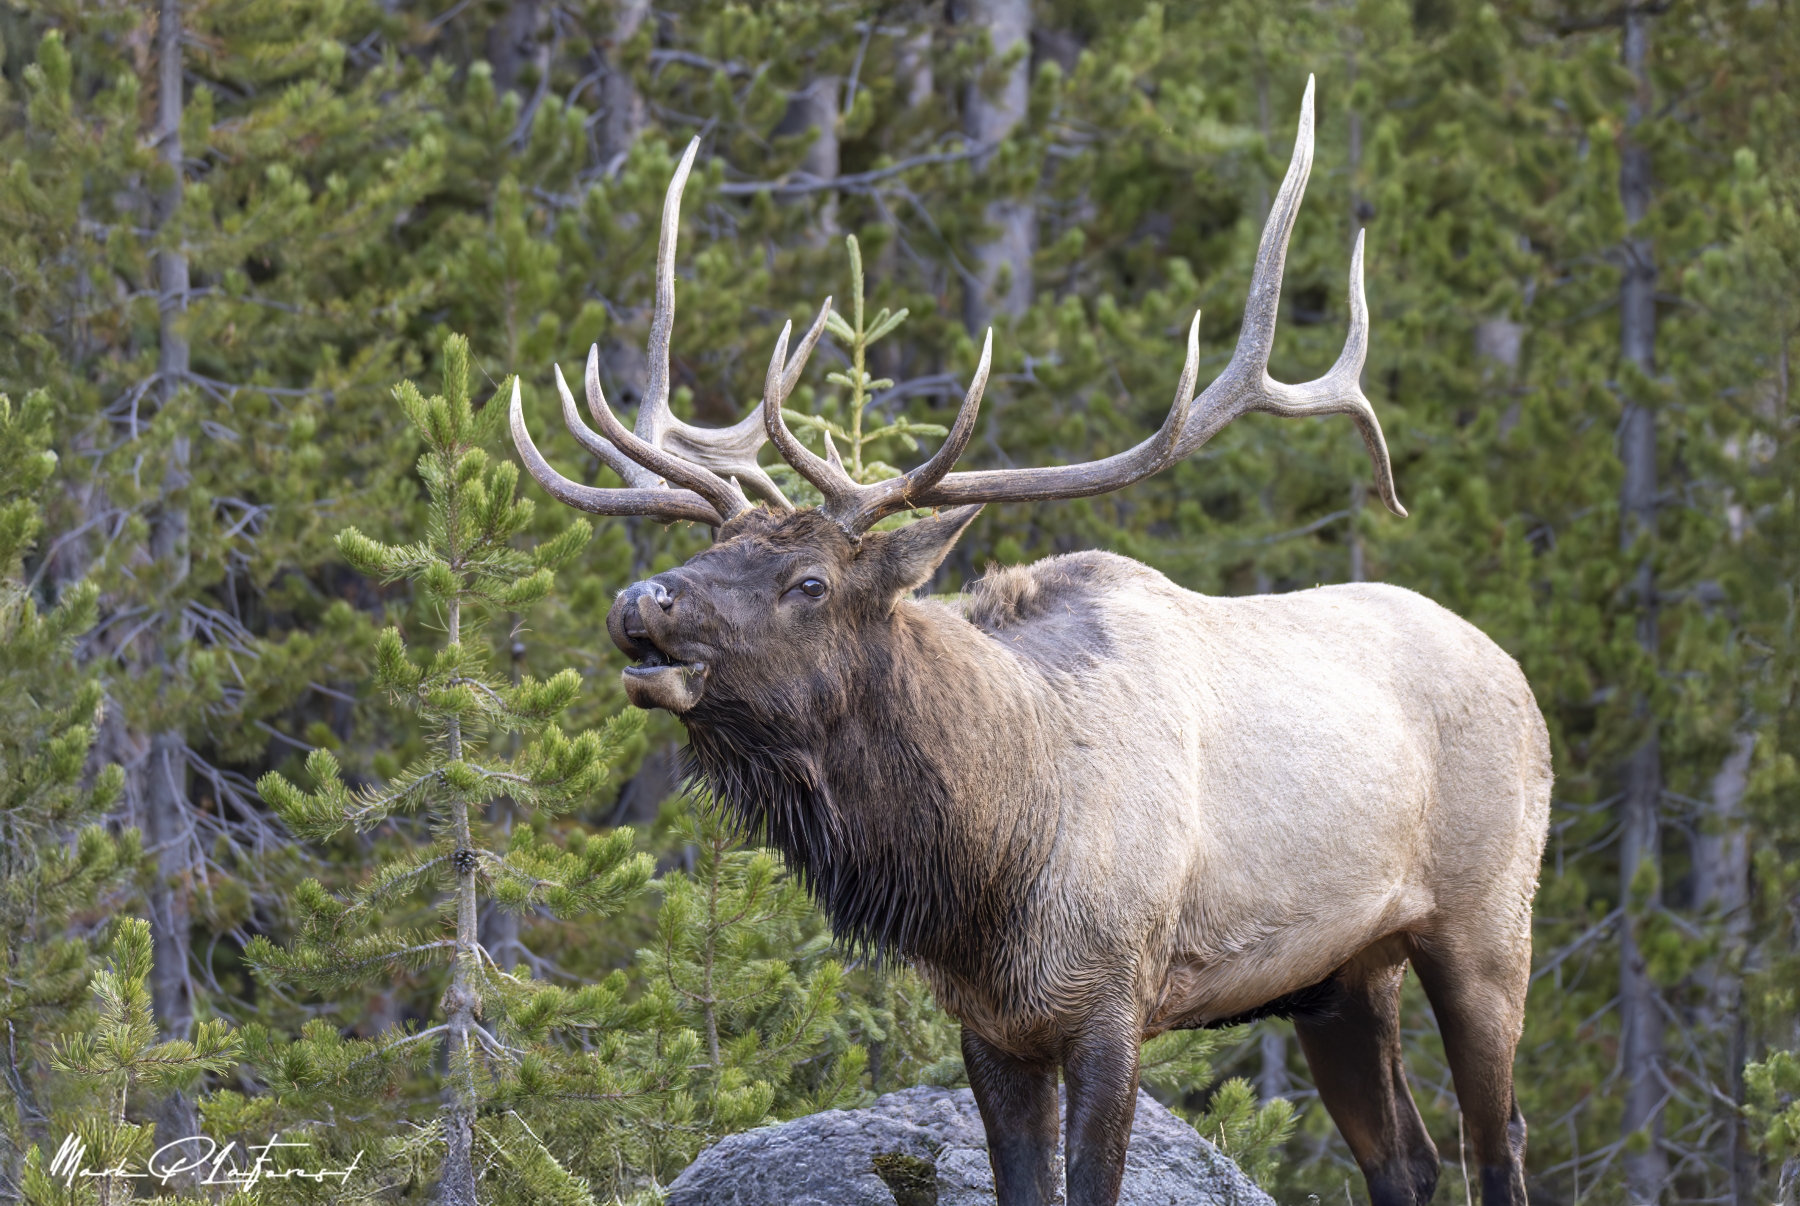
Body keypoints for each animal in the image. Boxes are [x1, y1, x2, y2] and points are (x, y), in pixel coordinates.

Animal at [514, 82, 1555, 1206]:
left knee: (1498, 1141)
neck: (991, 861)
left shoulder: (1114, 997)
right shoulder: (989, 1026)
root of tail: (1517, 673)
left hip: (1488, 920)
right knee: (1405, 1156)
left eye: (810, 584)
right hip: (1340, 973)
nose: (643, 600)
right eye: (711, 550)